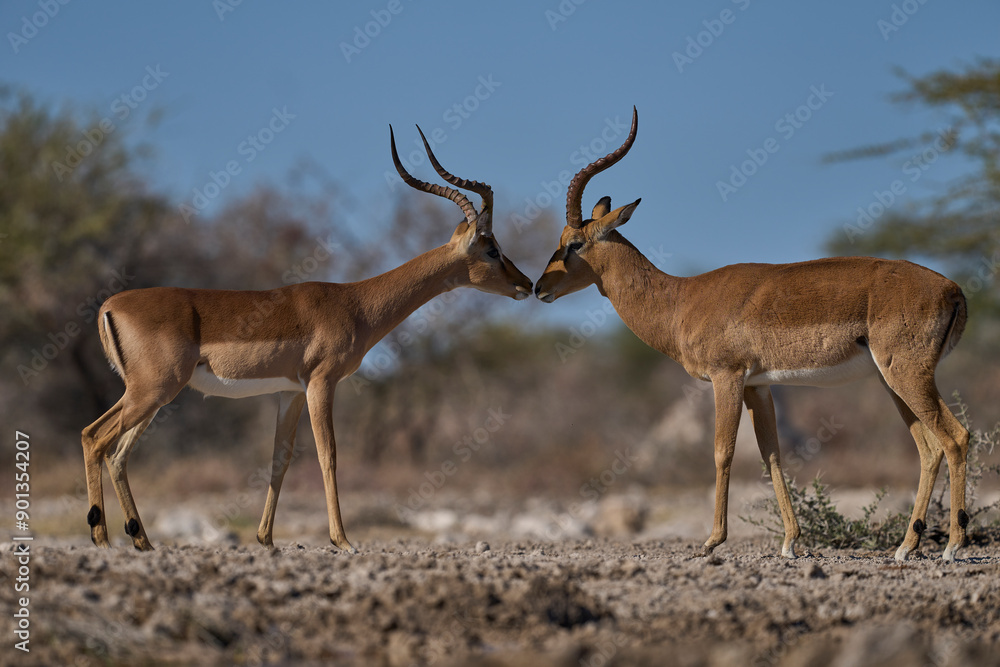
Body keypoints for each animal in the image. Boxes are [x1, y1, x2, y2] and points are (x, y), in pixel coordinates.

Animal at [81, 127, 533, 551]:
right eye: (491, 249)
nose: (526, 284)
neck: (355, 303)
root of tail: (109, 306)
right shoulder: (321, 383)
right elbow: (327, 455)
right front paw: (342, 540)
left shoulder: (290, 392)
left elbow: (279, 459)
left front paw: (266, 539)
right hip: (154, 390)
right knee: (97, 439)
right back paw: (102, 538)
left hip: (149, 395)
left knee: (114, 450)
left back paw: (141, 540)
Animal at [535, 107, 970, 561]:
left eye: (575, 243)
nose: (539, 288)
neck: (681, 300)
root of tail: (952, 289)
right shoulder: (757, 386)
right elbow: (771, 454)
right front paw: (791, 541)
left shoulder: (726, 377)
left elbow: (721, 452)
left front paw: (712, 540)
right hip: (892, 381)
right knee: (929, 448)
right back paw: (906, 546)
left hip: (907, 375)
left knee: (956, 438)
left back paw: (953, 545)